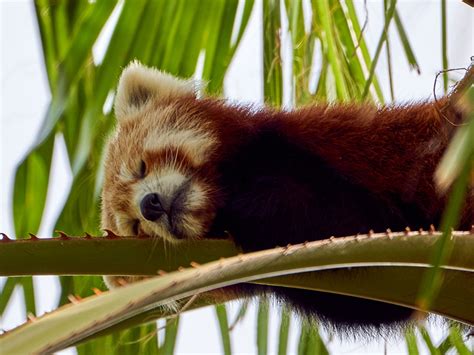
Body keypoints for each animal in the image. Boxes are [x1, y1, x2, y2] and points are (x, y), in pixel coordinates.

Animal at [102, 60, 472, 334]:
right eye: (135, 228)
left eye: (140, 167)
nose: (148, 205)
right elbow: (379, 304)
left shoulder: (300, 148)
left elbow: (357, 217)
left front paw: (246, 206)